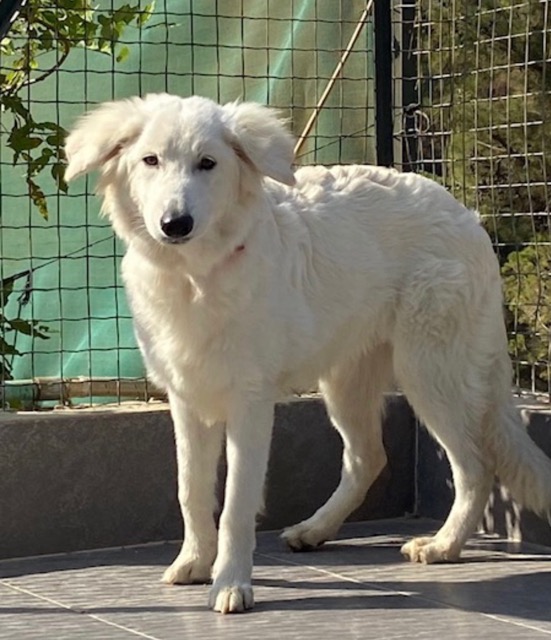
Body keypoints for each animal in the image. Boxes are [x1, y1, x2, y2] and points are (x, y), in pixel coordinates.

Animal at [64, 94, 551, 614]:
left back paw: (443, 545)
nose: (175, 224)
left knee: (475, 467)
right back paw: (315, 530)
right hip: (346, 384)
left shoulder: (250, 403)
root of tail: (464, 213)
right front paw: (194, 563)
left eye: (207, 164)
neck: (196, 277)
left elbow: (236, 505)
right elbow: (191, 491)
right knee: (368, 458)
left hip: (431, 374)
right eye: (150, 160)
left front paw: (231, 584)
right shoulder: (187, 400)